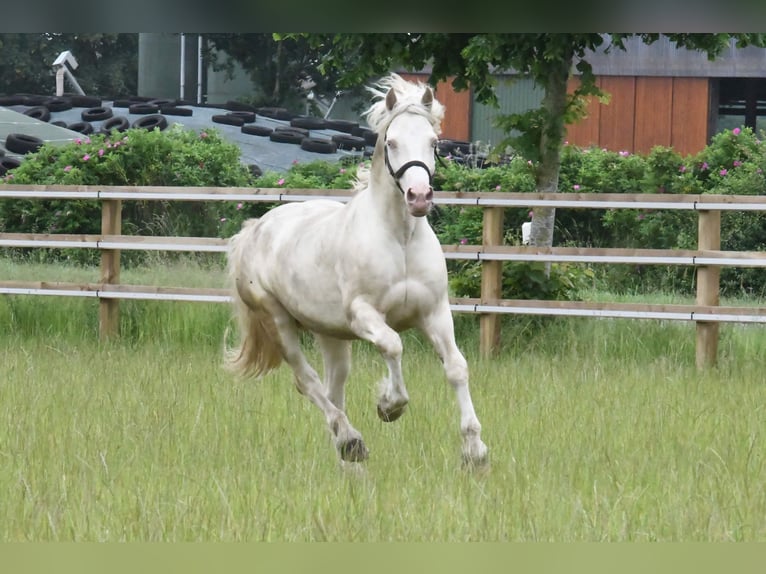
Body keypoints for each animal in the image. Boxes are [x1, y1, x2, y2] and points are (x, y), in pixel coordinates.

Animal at [225, 73, 488, 468]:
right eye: (392, 142)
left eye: (433, 143)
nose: (419, 197)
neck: (399, 239)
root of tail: (253, 229)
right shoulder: (364, 314)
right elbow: (393, 345)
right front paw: (389, 404)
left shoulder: (435, 312)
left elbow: (457, 367)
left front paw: (475, 450)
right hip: (278, 321)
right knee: (308, 382)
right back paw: (351, 440)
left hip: (330, 334)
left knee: (334, 389)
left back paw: (346, 455)